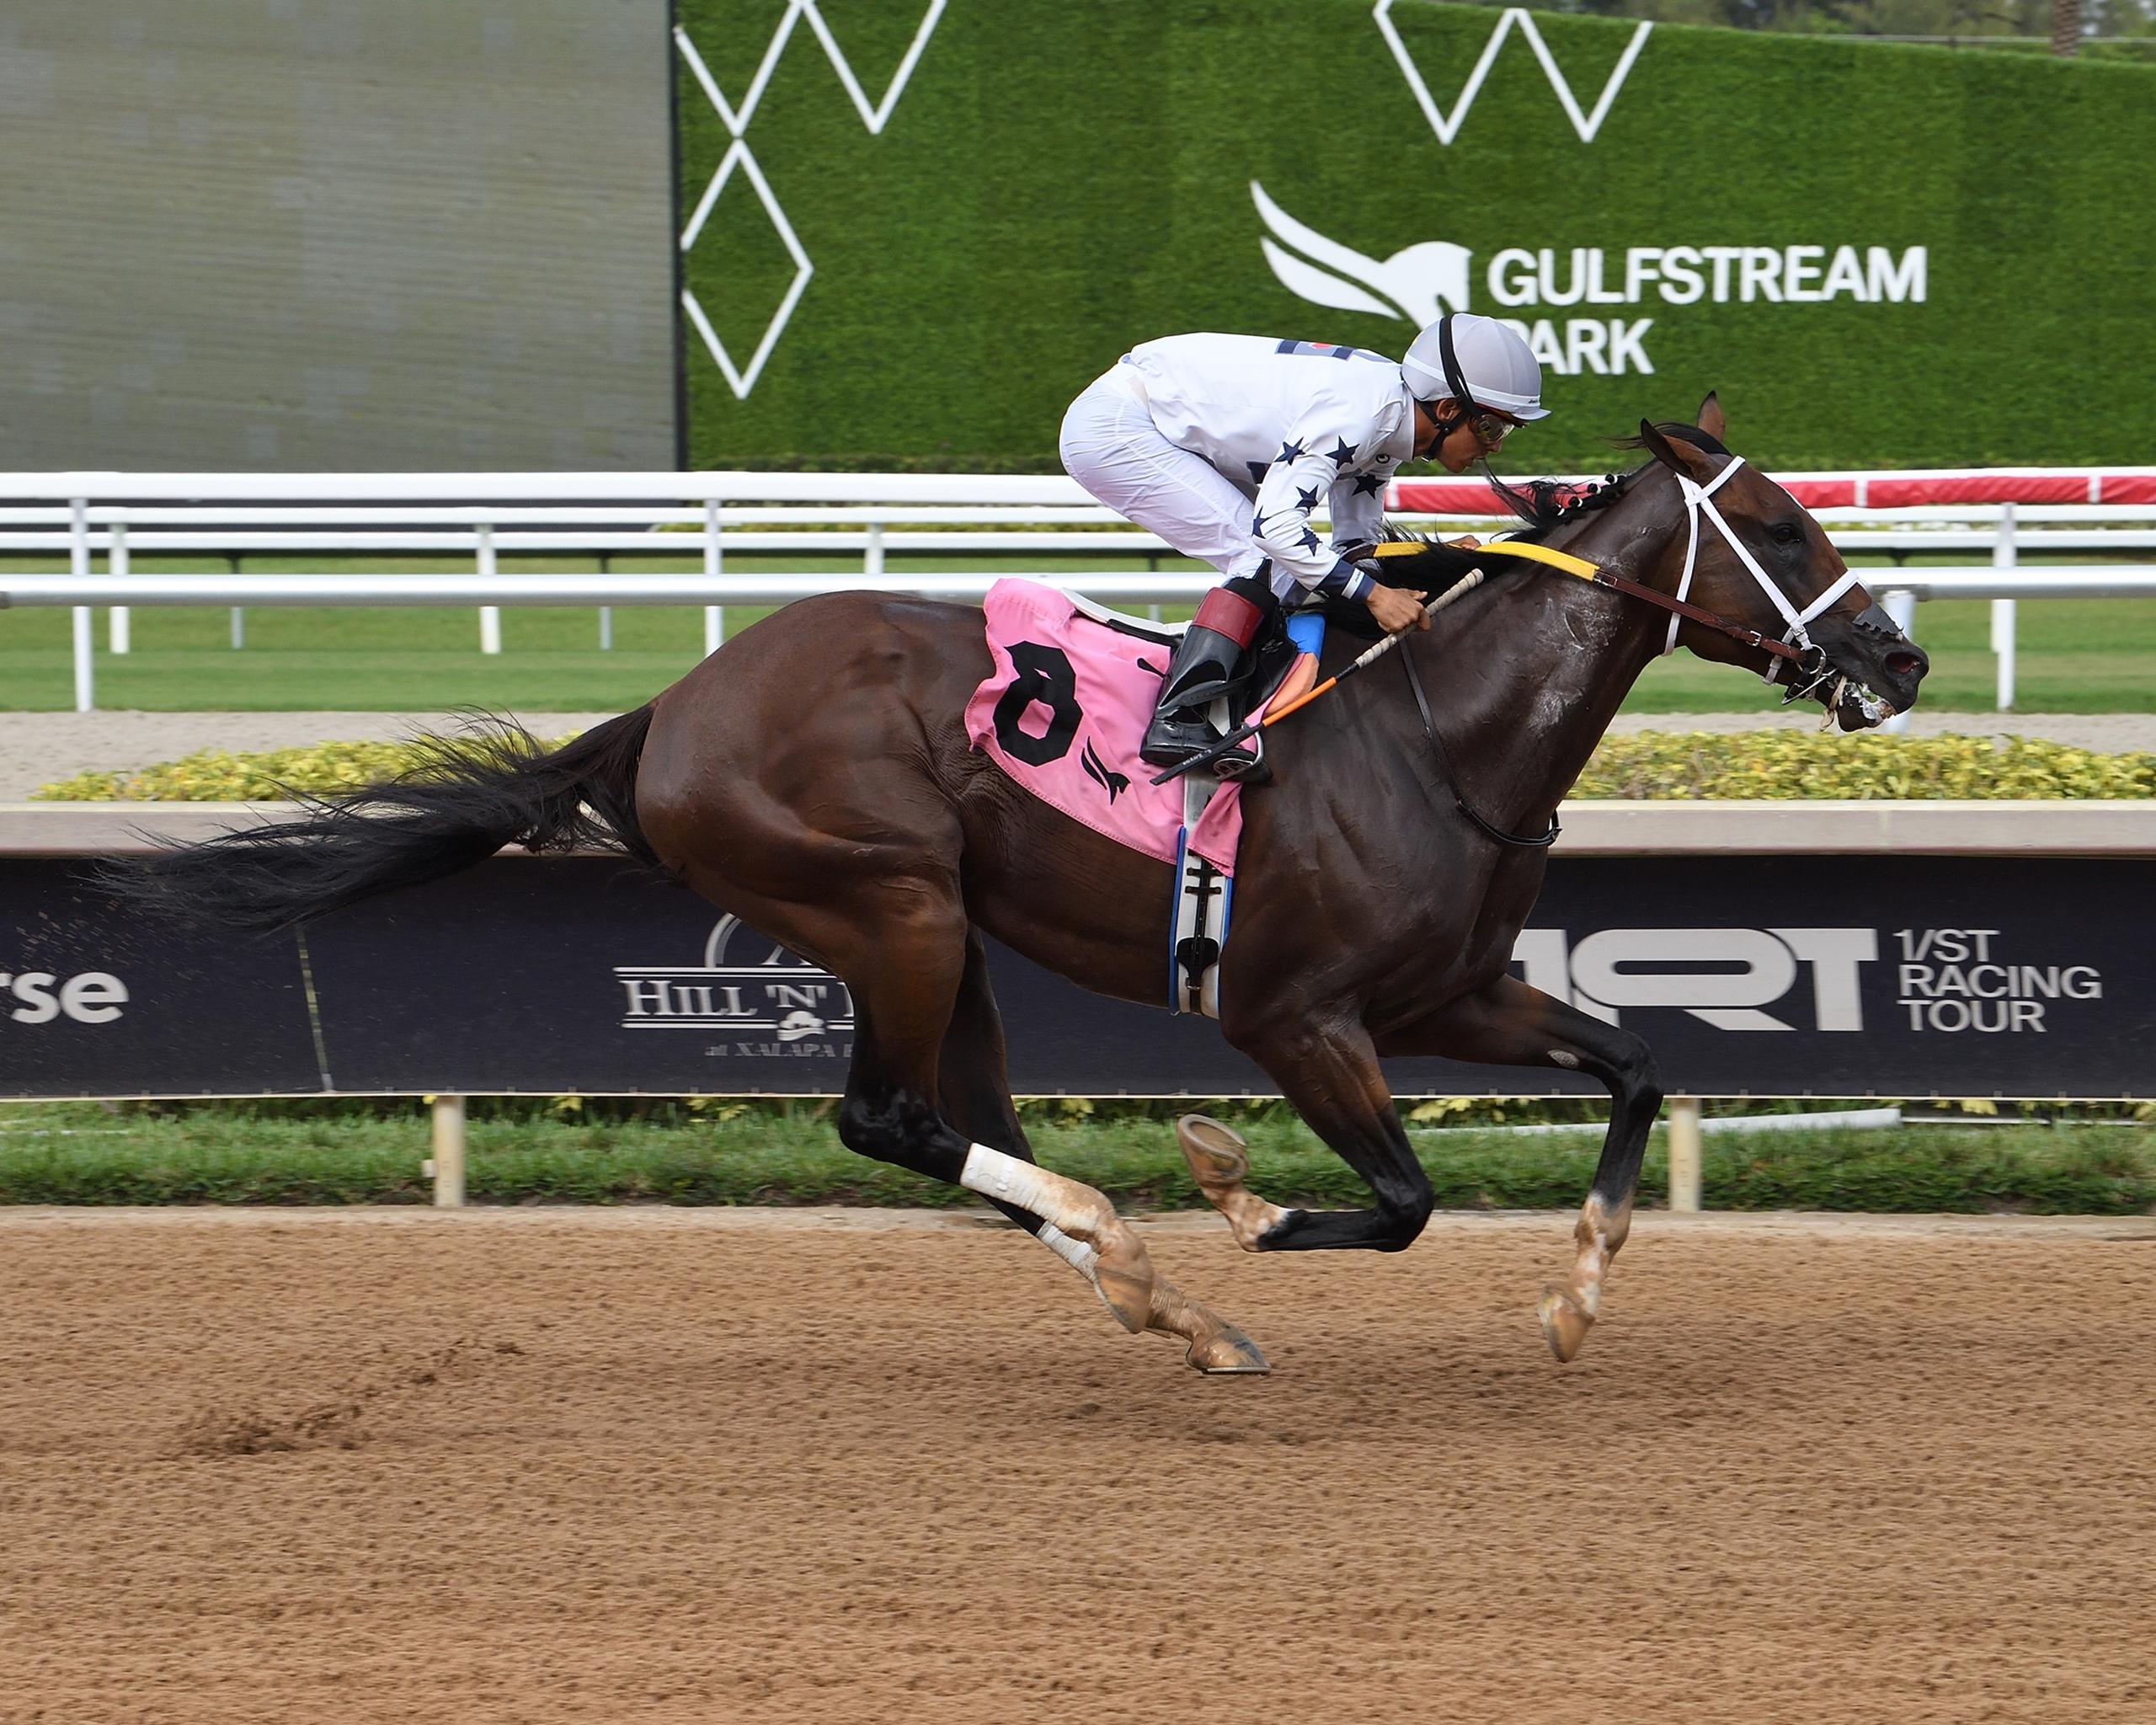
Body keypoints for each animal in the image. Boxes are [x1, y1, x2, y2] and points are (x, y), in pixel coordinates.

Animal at [125, 396, 1927, 1375]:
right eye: (1779, 522)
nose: (1899, 658)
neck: (1440, 739)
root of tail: (673, 708)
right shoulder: (1294, 1016)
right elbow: (1405, 1197)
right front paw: (1242, 1192)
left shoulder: (1453, 992)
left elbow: (1636, 1063)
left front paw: (1575, 1292)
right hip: (890, 901)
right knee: (891, 1119)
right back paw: (1145, 1251)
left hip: (944, 930)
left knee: (957, 1126)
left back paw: (1162, 1298)